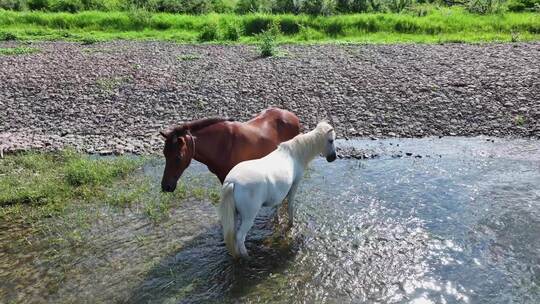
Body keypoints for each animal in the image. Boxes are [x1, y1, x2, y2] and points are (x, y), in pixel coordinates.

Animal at [217, 121, 336, 258]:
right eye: (331, 140)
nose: (333, 157)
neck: (295, 153)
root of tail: (232, 182)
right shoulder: (295, 184)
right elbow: (290, 205)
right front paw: (291, 224)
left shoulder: (280, 192)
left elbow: (278, 205)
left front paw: (278, 220)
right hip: (248, 217)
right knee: (240, 237)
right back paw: (247, 256)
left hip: (235, 214)